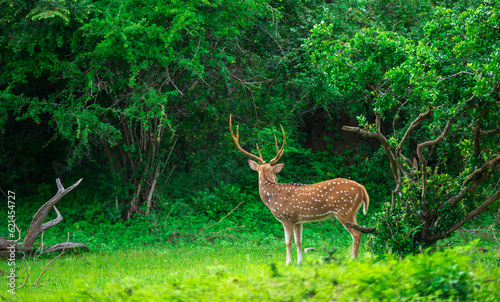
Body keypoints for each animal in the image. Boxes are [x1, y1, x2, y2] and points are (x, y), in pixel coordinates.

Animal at [229, 115, 368, 264]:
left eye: (276, 172)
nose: (276, 178)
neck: (272, 196)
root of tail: (362, 188)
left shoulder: (287, 217)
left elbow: (287, 242)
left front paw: (288, 262)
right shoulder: (298, 220)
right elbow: (299, 241)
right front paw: (299, 262)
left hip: (344, 210)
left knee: (357, 233)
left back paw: (353, 259)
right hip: (352, 212)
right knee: (359, 231)